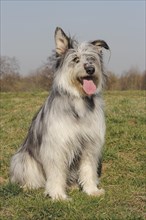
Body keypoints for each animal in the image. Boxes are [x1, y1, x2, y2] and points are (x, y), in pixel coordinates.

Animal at [9, 26, 109, 200]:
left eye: (91, 59)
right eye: (75, 59)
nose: (90, 69)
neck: (78, 100)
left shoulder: (89, 145)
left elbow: (88, 169)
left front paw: (91, 190)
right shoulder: (56, 146)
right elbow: (56, 174)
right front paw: (58, 195)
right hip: (23, 159)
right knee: (31, 177)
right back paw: (28, 186)